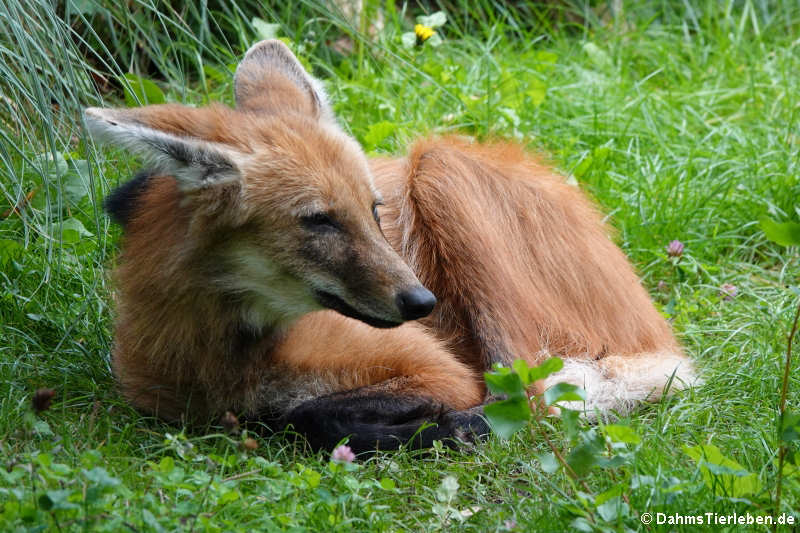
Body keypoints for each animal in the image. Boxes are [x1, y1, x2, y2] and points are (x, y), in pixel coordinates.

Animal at [86, 39, 692, 450]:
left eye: (375, 212)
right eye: (320, 221)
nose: (421, 302)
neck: (226, 350)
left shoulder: (442, 371)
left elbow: (308, 414)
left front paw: (428, 427)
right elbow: (284, 414)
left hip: (440, 170)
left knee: (534, 399)